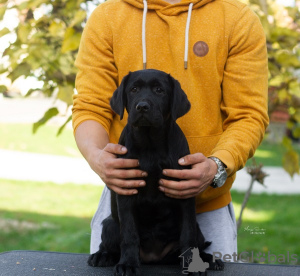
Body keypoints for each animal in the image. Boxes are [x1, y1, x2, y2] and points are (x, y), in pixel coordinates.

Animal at [86, 69, 223, 276]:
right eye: (133, 89)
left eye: (160, 90)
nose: (142, 107)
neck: (150, 144)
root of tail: (154, 257)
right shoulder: (126, 191)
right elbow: (129, 235)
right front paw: (127, 264)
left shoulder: (184, 192)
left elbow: (188, 237)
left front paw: (192, 265)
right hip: (109, 224)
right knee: (111, 244)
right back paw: (102, 255)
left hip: (197, 227)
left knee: (195, 243)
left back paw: (209, 260)